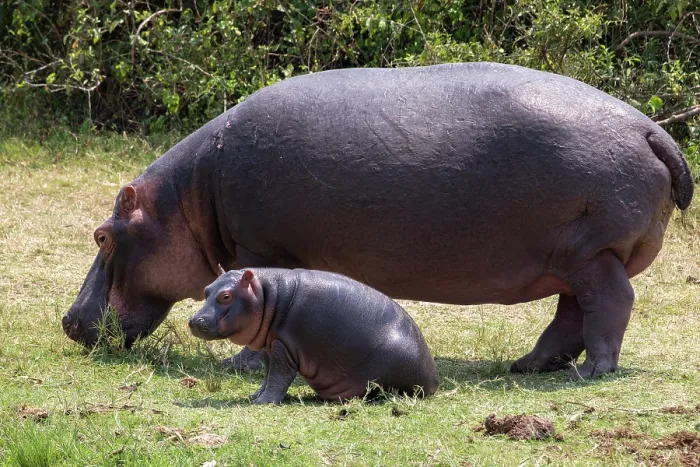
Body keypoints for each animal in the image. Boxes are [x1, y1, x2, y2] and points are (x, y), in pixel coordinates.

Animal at [63, 62, 694, 379]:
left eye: (102, 235)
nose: (68, 320)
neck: (188, 198)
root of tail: (650, 127)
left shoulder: (259, 249)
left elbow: (253, 303)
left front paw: (239, 362)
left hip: (592, 253)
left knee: (607, 305)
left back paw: (593, 372)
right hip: (568, 257)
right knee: (569, 314)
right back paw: (527, 366)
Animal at [189, 268, 439, 403]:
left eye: (226, 296)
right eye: (207, 289)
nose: (193, 321)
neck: (266, 295)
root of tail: (433, 381)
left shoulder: (284, 346)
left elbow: (279, 376)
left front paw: (264, 402)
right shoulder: (271, 345)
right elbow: (268, 375)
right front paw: (255, 396)